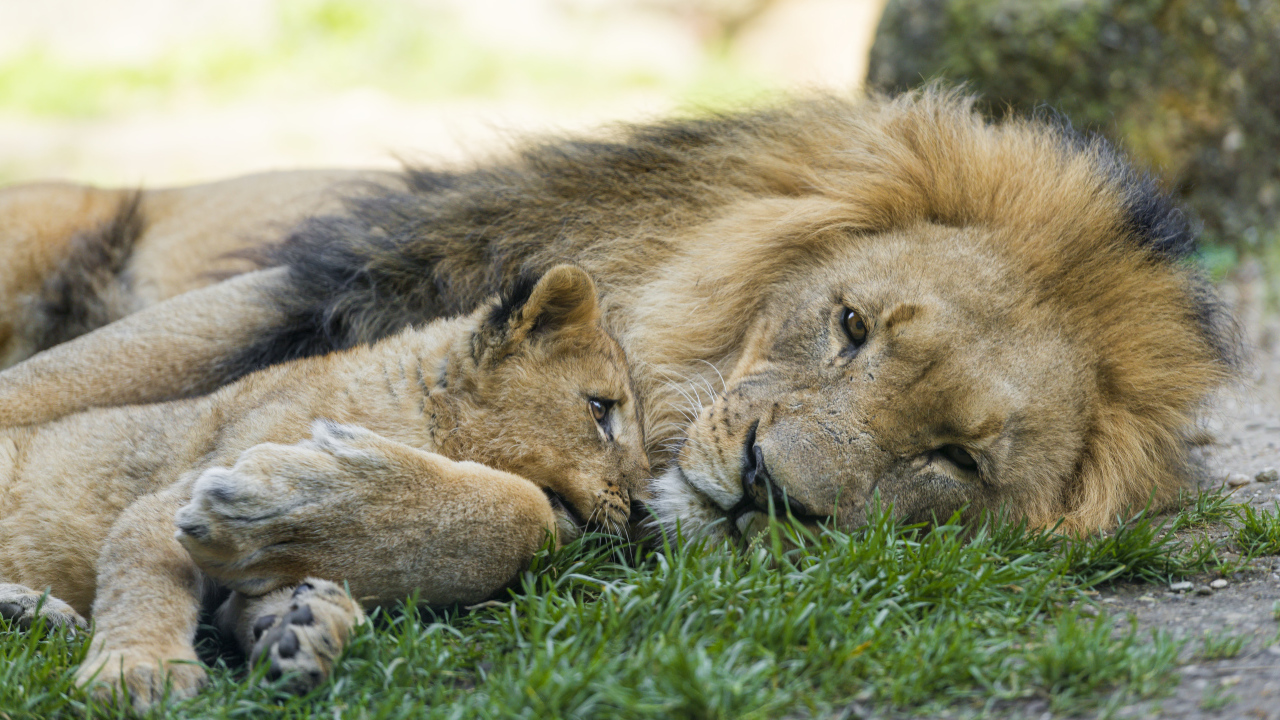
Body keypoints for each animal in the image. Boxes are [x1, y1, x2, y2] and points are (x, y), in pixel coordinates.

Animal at [0, 87, 1239, 543]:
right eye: (851, 327)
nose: (766, 491)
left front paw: (313, 497)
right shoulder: (318, 284)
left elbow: (510, 510)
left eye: (954, 461)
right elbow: (49, 389)